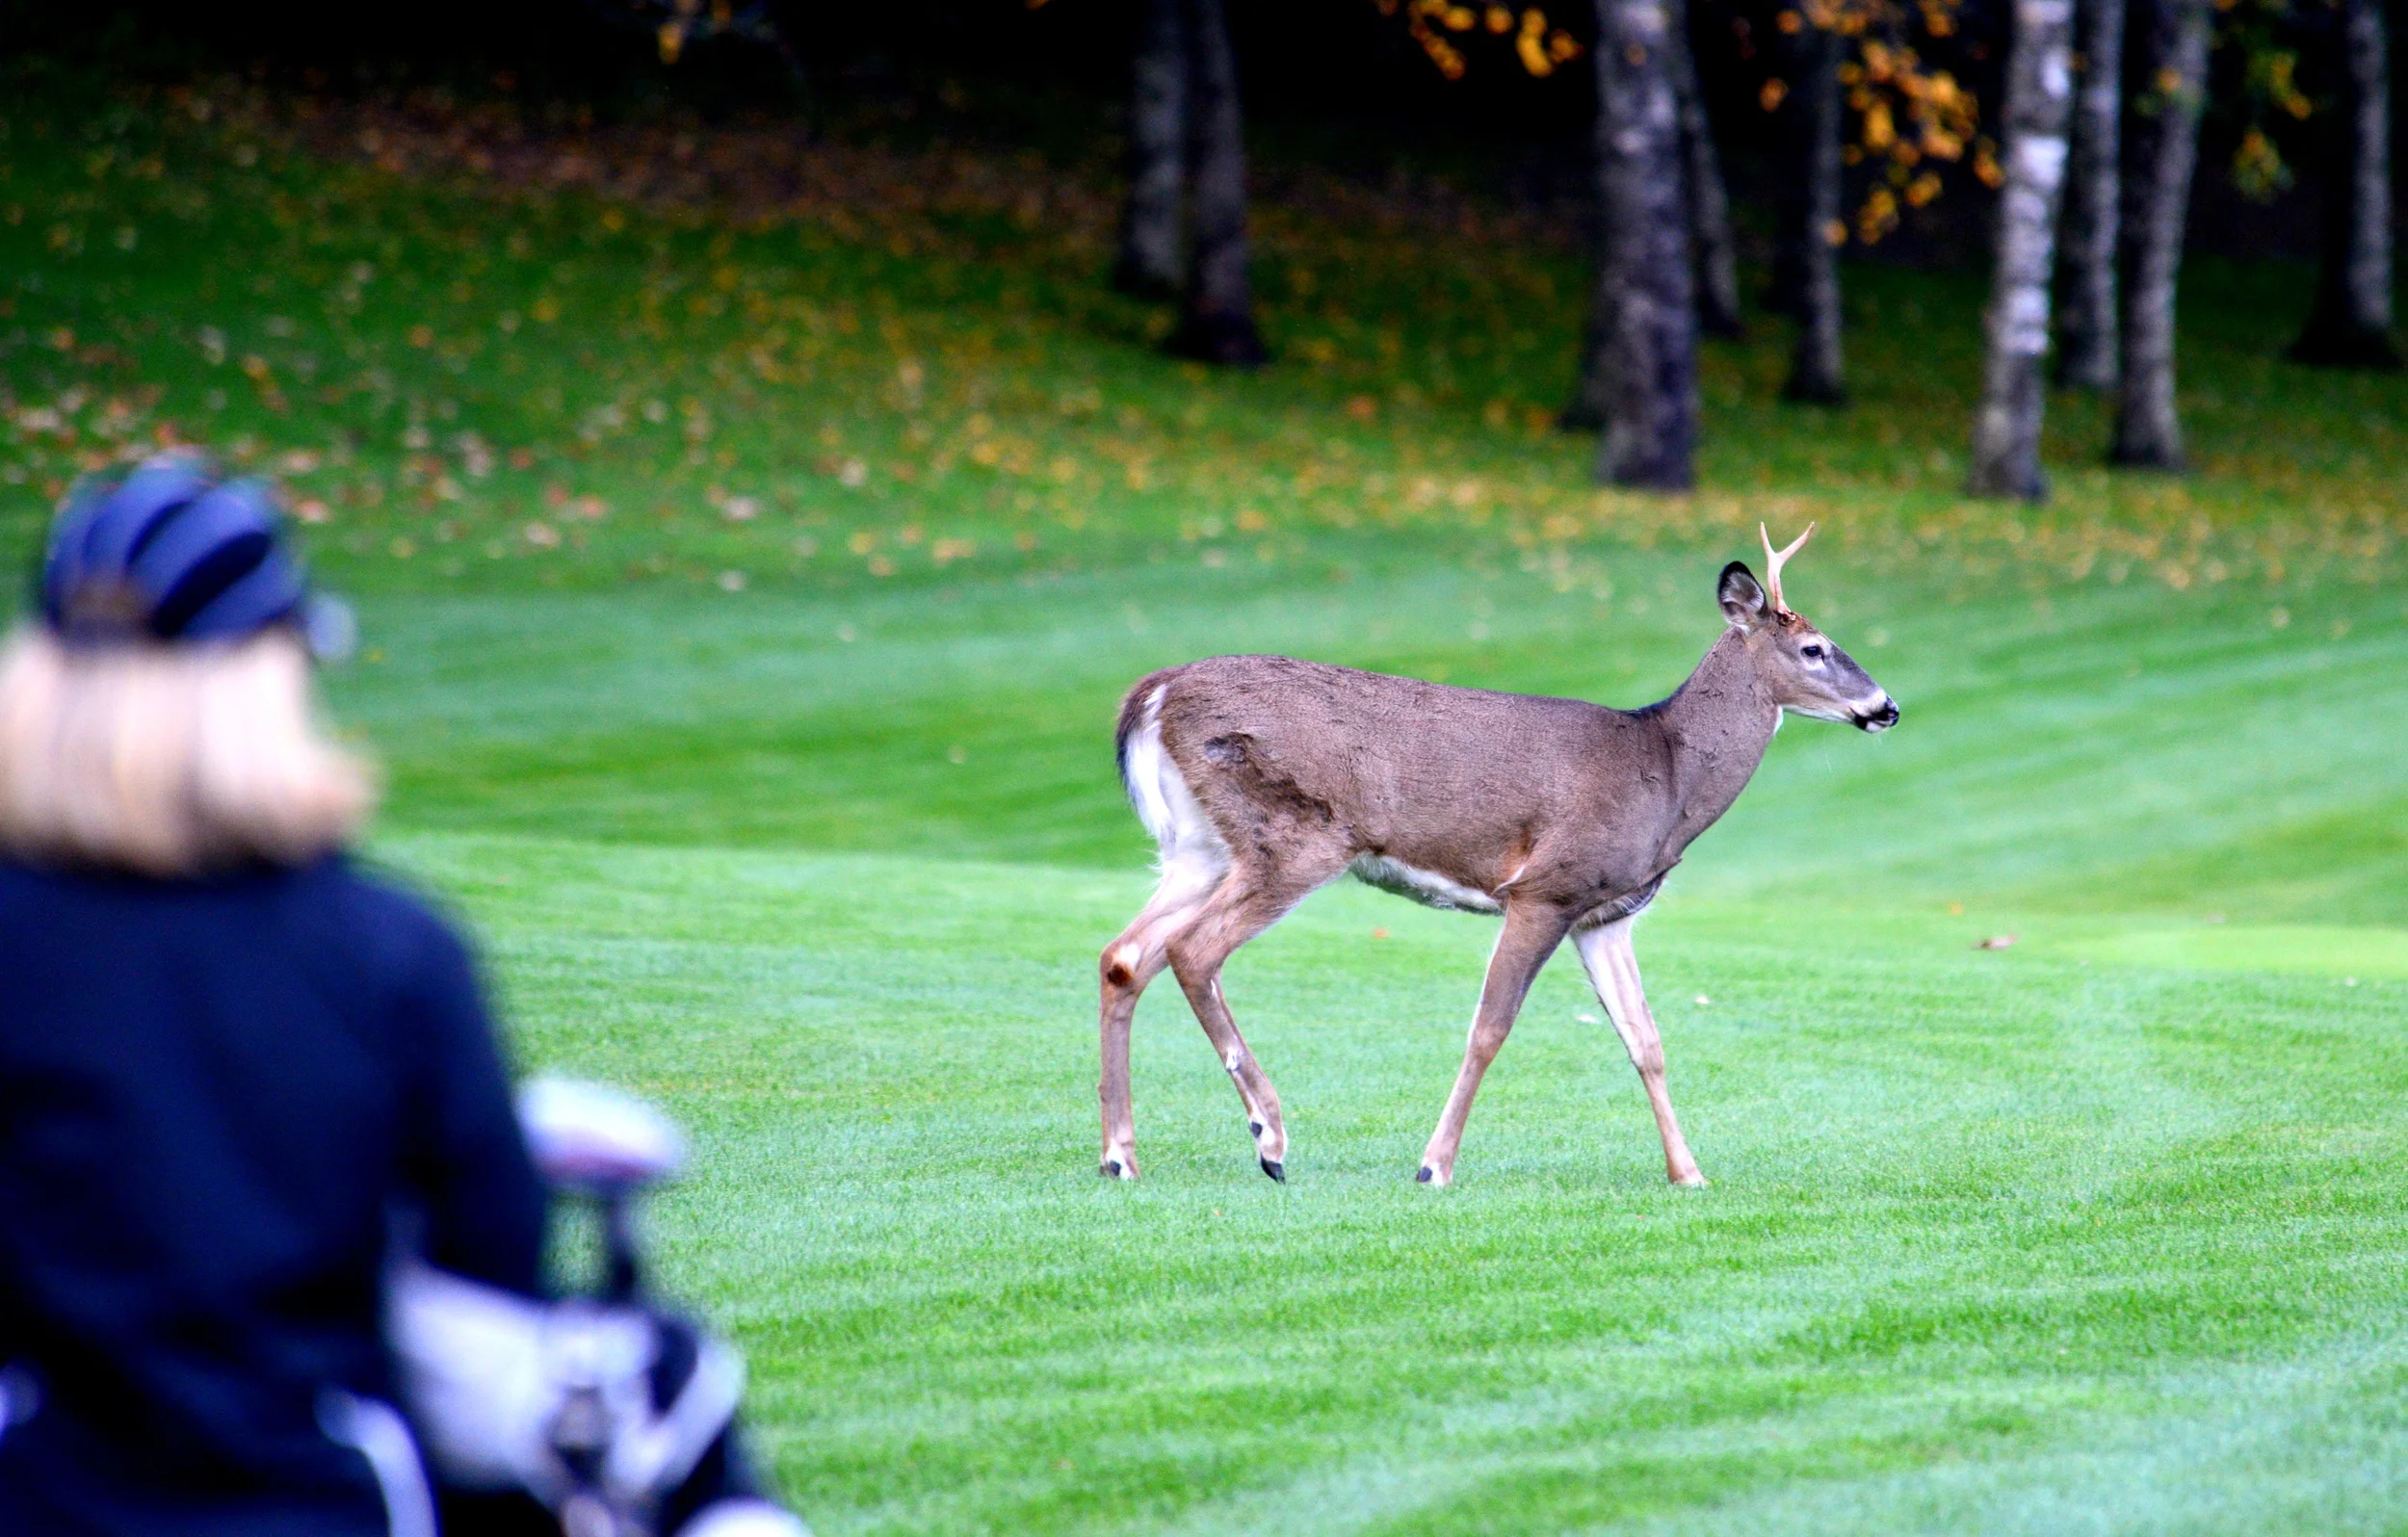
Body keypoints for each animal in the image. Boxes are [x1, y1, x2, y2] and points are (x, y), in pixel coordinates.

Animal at [1094, 525, 1897, 1188]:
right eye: (1815, 649)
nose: (1887, 707)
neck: (1667, 772)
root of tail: (1152, 694)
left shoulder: (1604, 914)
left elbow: (1646, 1040)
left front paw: (1688, 1173)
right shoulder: (1546, 888)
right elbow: (1490, 1027)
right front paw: (1434, 1166)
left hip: (1200, 847)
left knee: (1125, 954)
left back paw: (1120, 1154)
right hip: (1295, 837)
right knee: (1193, 951)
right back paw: (1269, 1137)